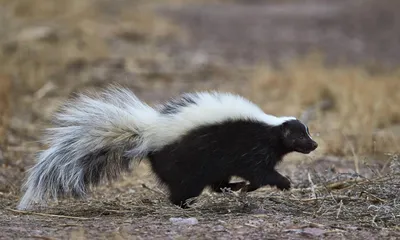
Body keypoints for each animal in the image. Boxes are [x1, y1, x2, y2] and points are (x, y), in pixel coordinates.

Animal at [18, 86, 318, 210]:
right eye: (300, 137)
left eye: (308, 133)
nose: (315, 144)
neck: (271, 128)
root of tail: (150, 132)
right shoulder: (252, 147)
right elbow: (259, 172)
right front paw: (284, 182)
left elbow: (256, 175)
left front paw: (245, 187)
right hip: (186, 161)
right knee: (184, 187)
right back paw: (187, 205)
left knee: (215, 182)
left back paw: (228, 189)